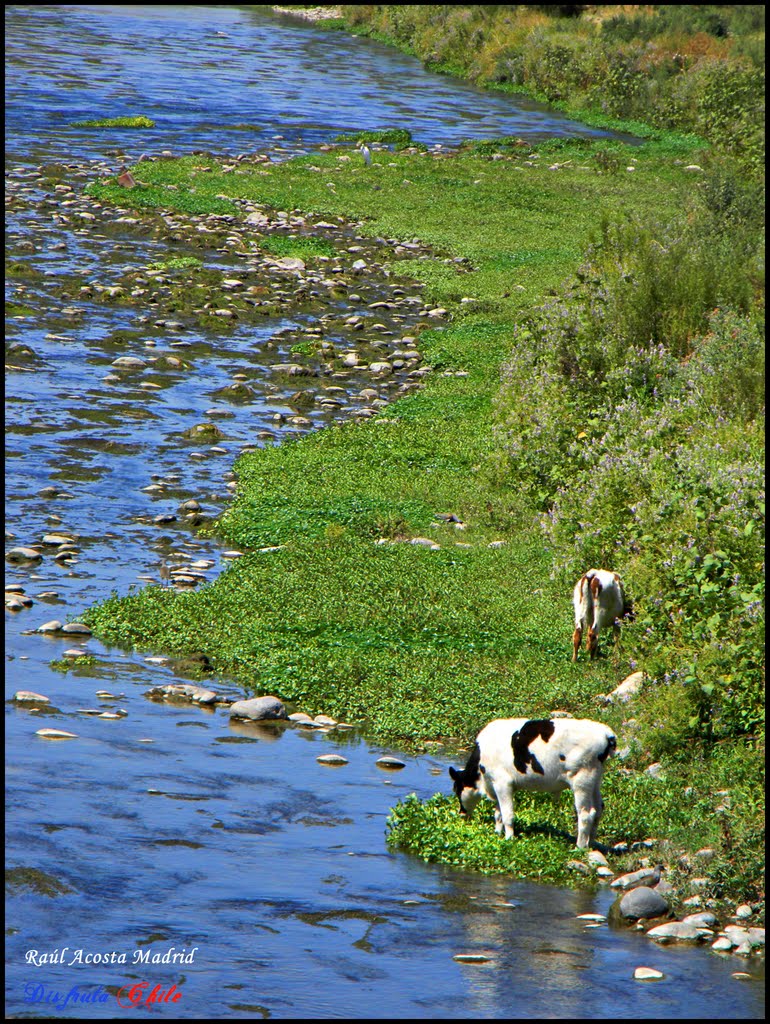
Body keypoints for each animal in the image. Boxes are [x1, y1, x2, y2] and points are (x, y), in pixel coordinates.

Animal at [448, 716, 618, 851]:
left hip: (582, 779)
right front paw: (497, 833)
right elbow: (498, 813)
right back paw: (591, 844)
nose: (461, 813)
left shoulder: (503, 783)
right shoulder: (496, 785)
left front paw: (509, 839)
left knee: (586, 814)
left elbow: (507, 814)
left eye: (456, 788)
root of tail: (606, 733)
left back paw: (580, 847)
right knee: (599, 809)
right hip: (595, 779)